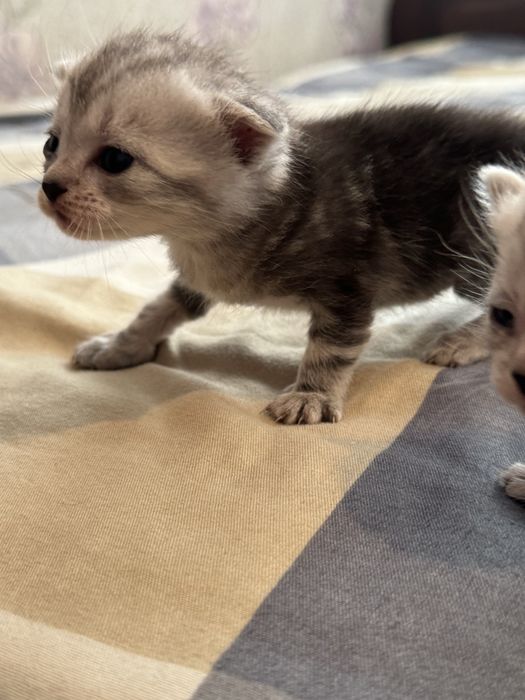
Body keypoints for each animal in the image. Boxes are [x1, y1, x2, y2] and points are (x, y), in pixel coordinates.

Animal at [38, 30, 525, 425]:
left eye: (115, 159)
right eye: (51, 144)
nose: (48, 186)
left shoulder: (349, 284)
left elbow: (332, 345)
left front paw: (312, 395)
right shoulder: (204, 276)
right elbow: (160, 306)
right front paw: (120, 345)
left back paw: (464, 341)